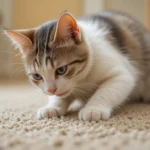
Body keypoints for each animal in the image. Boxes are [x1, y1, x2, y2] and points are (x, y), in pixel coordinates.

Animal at [4, 10, 150, 120]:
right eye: (37, 76)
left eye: (61, 70)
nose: (51, 90)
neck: (82, 80)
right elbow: (61, 97)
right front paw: (52, 106)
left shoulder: (123, 73)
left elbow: (108, 90)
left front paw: (94, 108)